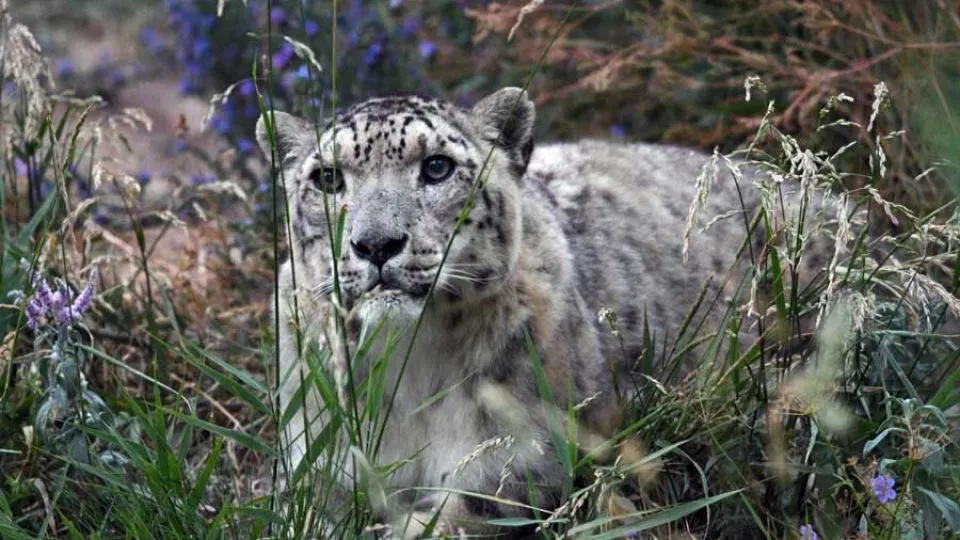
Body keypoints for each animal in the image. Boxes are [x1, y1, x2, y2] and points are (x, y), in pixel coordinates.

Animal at [255, 87, 837, 538]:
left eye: (437, 167)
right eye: (328, 178)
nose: (375, 244)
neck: (410, 372)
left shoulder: (528, 459)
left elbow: (459, 512)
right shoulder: (316, 467)